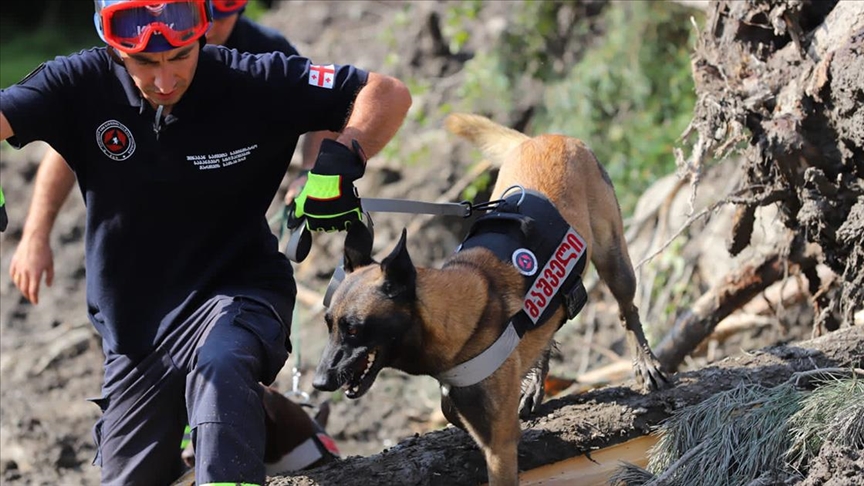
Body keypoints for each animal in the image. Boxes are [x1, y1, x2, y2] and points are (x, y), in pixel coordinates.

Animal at [310, 113, 668, 486]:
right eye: (329, 325)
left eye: (354, 329)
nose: (319, 383)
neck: (458, 309)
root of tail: (546, 138)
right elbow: (451, 408)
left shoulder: (499, 445)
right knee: (551, 330)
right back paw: (535, 384)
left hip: (614, 261)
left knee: (628, 311)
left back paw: (646, 363)